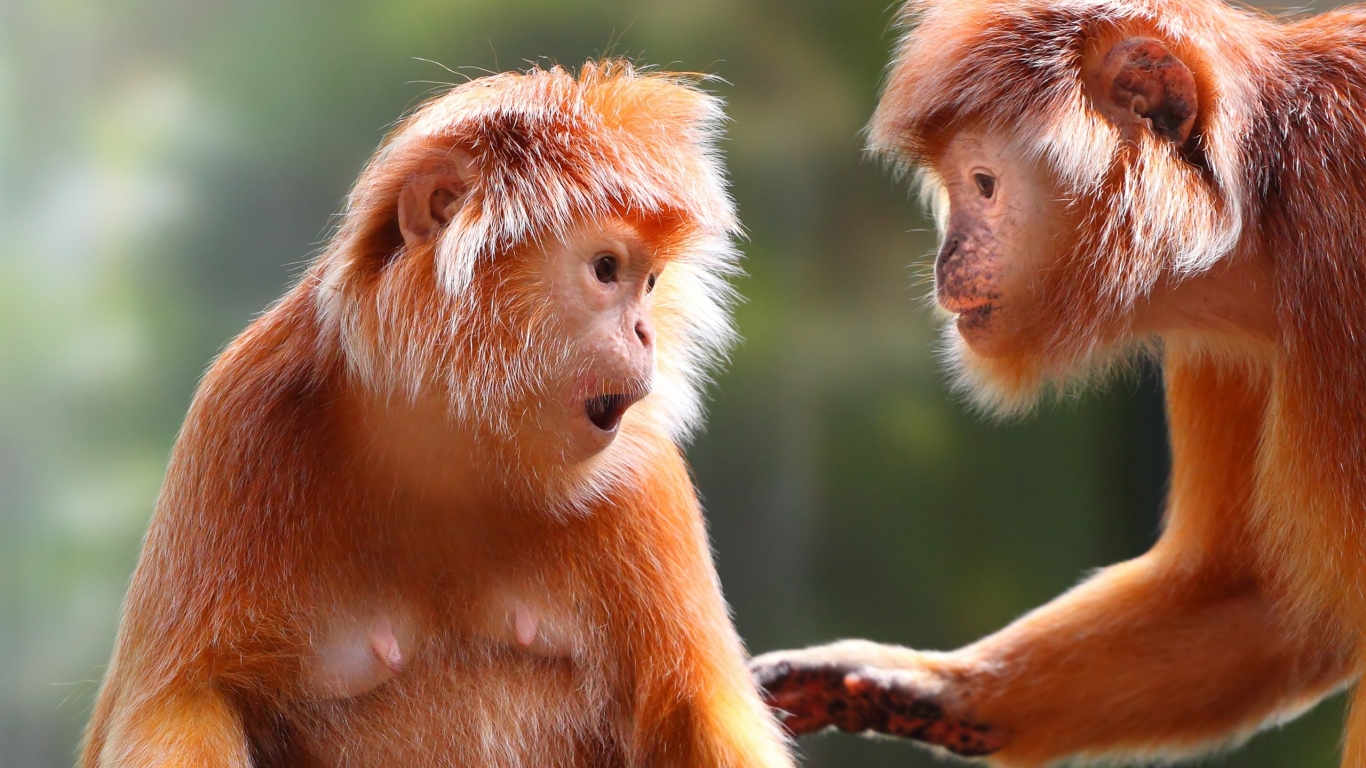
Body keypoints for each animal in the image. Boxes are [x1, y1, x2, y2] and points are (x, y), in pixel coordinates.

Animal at [82, 62, 792, 765]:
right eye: (606, 269)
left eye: (648, 284)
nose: (645, 331)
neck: (453, 444)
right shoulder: (241, 415)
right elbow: (182, 703)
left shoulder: (642, 472)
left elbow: (695, 710)